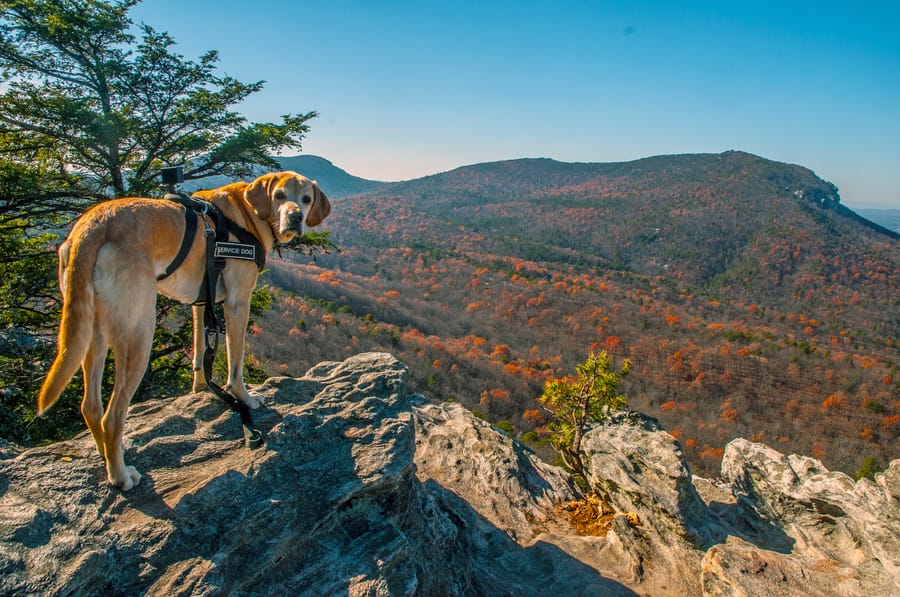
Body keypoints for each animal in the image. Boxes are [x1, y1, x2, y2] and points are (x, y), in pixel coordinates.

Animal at [38, 171, 332, 488]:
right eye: (279, 195)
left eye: (306, 199)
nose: (296, 216)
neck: (248, 212)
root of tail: (91, 227)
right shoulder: (237, 303)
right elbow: (236, 362)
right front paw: (243, 397)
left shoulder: (203, 302)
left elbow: (200, 352)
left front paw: (201, 388)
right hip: (137, 330)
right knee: (112, 416)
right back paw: (121, 476)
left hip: (93, 329)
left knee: (91, 406)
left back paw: (108, 452)